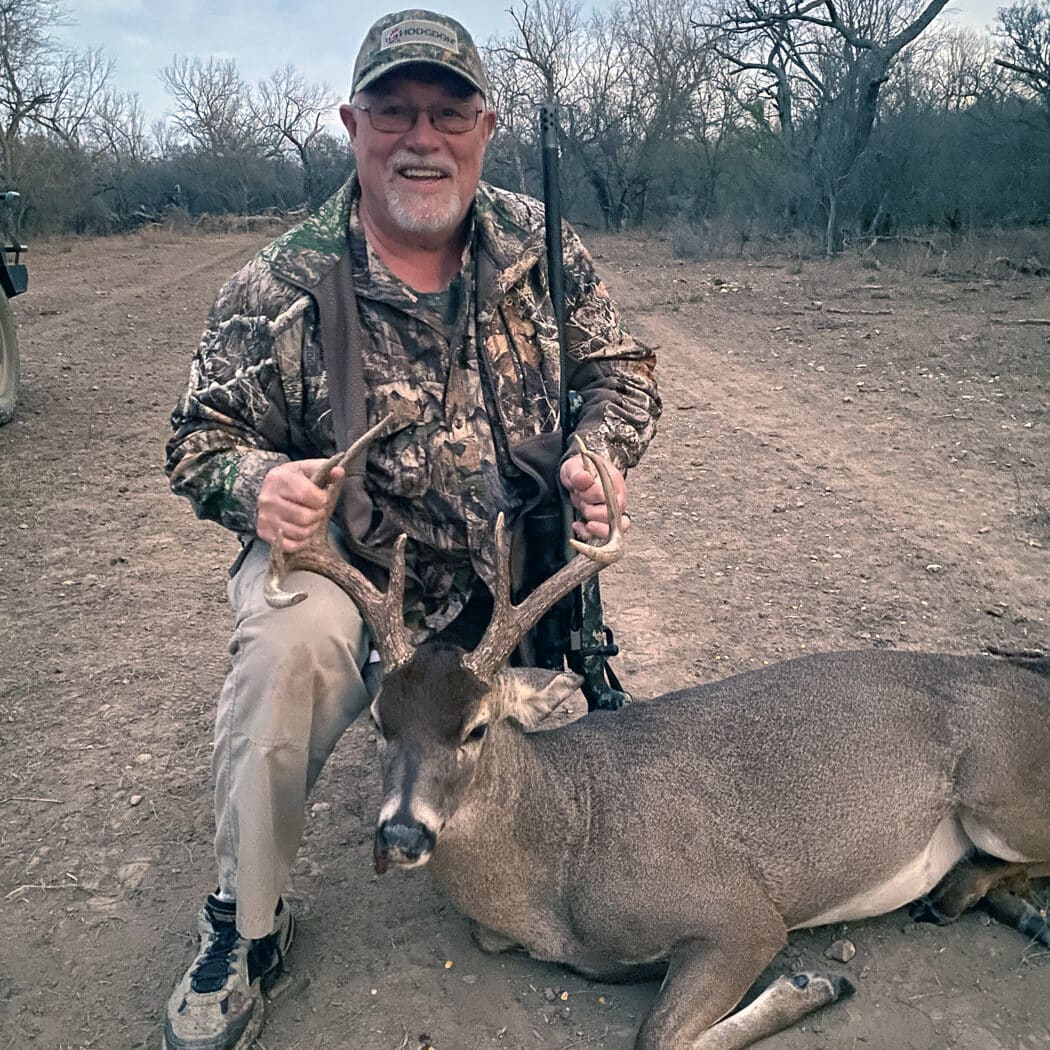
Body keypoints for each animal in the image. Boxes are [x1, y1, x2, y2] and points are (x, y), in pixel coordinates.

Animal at [265, 413, 1050, 1050]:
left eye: (477, 728)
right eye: (379, 722)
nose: (402, 833)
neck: (565, 859)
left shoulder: (740, 912)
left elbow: (659, 1036)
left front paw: (812, 985)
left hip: (1000, 794)